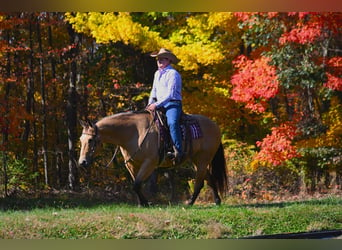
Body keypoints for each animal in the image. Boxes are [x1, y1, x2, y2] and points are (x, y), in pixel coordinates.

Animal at [78, 110, 227, 206]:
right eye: (81, 139)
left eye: (90, 140)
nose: (82, 162)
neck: (134, 133)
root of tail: (215, 126)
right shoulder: (131, 164)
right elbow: (136, 184)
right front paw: (142, 203)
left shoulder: (149, 163)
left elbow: (137, 184)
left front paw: (146, 203)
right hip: (196, 160)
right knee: (209, 179)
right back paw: (217, 201)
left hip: (203, 159)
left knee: (199, 182)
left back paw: (190, 202)